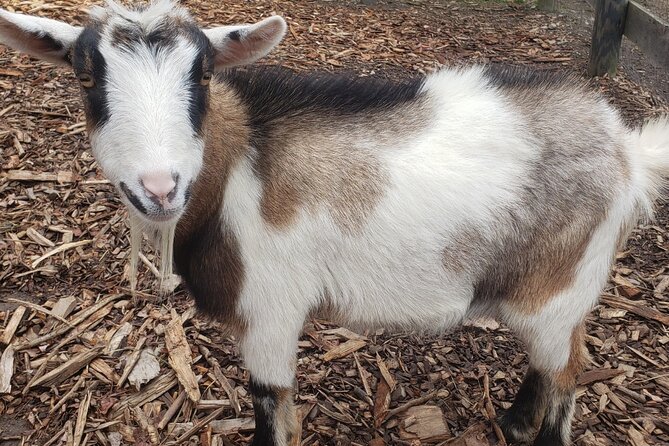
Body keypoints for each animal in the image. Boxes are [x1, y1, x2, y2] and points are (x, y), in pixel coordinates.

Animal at [1, 1, 668, 445]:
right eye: (86, 75)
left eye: (203, 74)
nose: (160, 187)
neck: (235, 163)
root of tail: (627, 150)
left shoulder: (270, 312)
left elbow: (272, 411)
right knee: (558, 362)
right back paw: (513, 420)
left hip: (557, 287)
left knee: (567, 375)